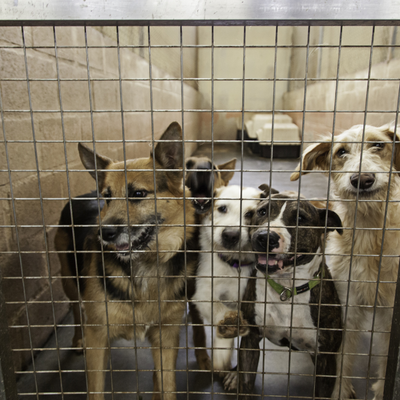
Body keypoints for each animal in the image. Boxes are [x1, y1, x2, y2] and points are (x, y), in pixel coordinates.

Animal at [55, 122, 197, 400]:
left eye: (138, 194)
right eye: (107, 197)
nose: (105, 233)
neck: (146, 265)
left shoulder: (166, 337)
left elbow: (167, 385)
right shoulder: (98, 337)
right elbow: (96, 390)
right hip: (69, 280)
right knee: (76, 308)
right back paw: (77, 339)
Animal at [192, 184, 260, 378]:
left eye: (250, 214)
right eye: (222, 208)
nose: (230, 235)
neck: (233, 264)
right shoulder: (203, 292)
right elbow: (218, 307)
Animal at [220, 188, 346, 400]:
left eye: (300, 218)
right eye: (262, 212)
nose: (265, 237)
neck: (286, 288)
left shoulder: (325, 358)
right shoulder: (250, 340)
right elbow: (246, 380)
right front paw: (239, 379)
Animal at [290, 123, 400, 398]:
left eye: (378, 145)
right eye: (341, 152)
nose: (362, 180)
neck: (370, 232)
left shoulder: (391, 315)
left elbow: (387, 356)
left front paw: (382, 389)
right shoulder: (345, 305)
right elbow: (341, 355)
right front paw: (339, 390)